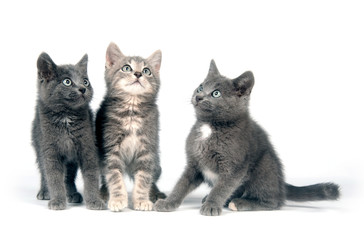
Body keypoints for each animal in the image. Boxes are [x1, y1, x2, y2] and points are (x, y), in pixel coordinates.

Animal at [31, 53, 106, 210]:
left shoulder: (87, 146)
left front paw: (94, 200)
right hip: (38, 144)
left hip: (71, 160)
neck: (66, 117)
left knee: (69, 176)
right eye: (67, 82)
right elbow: (53, 176)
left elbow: (91, 175)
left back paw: (72, 194)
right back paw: (45, 192)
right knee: (43, 172)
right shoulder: (50, 150)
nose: (83, 89)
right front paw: (57, 200)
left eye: (85, 81)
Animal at [95, 42, 166, 211]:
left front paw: (141, 200)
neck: (132, 111)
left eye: (147, 71)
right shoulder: (110, 149)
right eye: (126, 68)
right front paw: (117, 199)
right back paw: (104, 192)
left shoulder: (147, 149)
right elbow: (114, 176)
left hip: (156, 162)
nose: (138, 74)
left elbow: (144, 178)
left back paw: (154, 193)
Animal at [155, 59, 340, 216]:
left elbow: (221, 188)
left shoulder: (234, 166)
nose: (199, 96)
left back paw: (241, 203)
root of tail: (282, 184)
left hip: (264, 165)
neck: (210, 126)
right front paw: (168, 202)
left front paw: (211, 205)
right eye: (200, 87)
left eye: (216, 93)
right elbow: (181, 184)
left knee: (273, 201)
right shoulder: (194, 164)